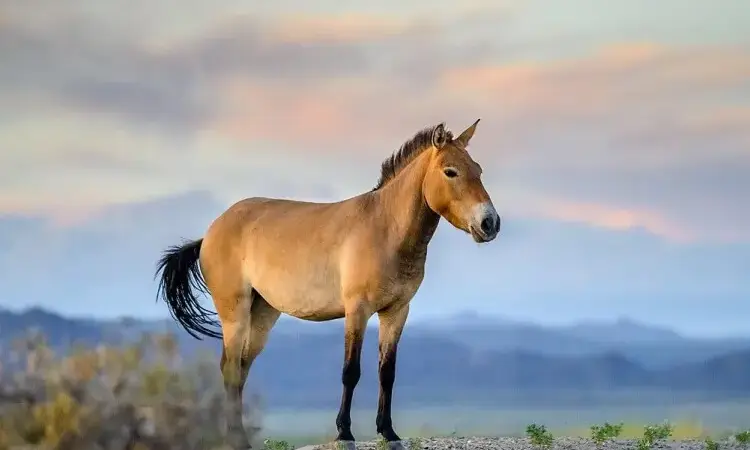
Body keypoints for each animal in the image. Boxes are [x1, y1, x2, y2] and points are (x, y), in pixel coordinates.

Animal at [155, 119, 501, 449]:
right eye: (450, 171)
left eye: (479, 170)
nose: (490, 223)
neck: (385, 228)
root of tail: (210, 232)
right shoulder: (357, 310)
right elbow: (351, 371)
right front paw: (344, 433)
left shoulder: (396, 311)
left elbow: (386, 372)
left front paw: (388, 432)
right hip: (235, 313)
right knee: (229, 368)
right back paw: (235, 439)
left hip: (262, 314)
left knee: (241, 369)